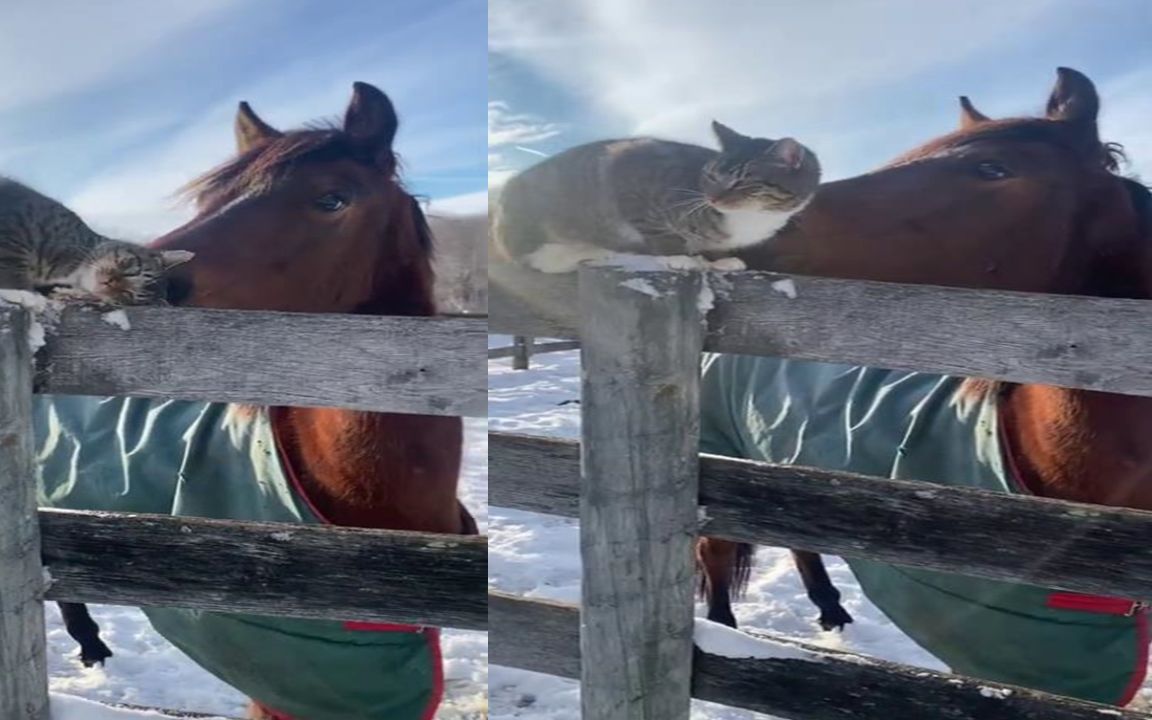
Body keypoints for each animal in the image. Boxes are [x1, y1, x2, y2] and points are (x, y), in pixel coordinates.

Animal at [0, 179, 191, 306]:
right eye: (131, 270)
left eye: (128, 294)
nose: (109, 282)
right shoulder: (19, 223)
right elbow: (12, 267)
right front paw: (22, 293)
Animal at [493, 120, 820, 271]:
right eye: (712, 175)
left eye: (745, 180)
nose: (713, 198)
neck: (749, 218)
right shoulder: (629, 172)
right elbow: (660, 232)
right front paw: (681, 258)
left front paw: (719, 263)